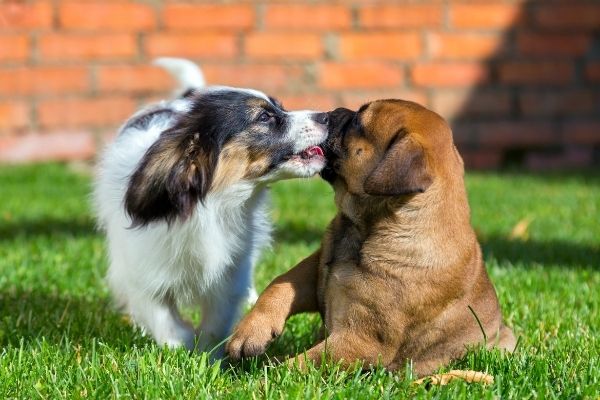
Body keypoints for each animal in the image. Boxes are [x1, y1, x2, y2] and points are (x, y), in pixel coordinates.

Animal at [94, 58, 328, 354]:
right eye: (264, 118)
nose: (327, 116)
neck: (213, 205)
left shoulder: (229, 273)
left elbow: (217, 320)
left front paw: (208, 353)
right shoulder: (142, 271)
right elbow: (161, 314)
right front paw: (180, 346)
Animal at [226, 99, 516, 376]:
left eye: (358, 123)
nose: (329, 113)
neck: (361, 227)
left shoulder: (362, 340)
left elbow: (304, 363)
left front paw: (262, 379)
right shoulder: (315, 269)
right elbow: (280, 284)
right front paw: (250, 332)